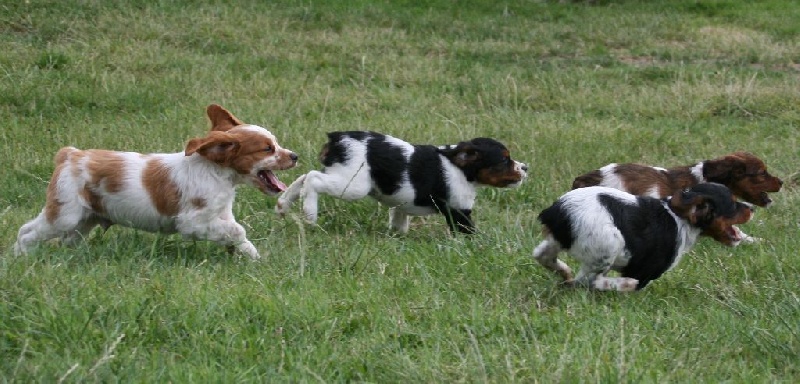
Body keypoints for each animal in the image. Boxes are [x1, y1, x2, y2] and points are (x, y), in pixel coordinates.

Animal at [14, 103, 296, 260]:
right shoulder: (191, 222)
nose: (295, 156)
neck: (216, 173)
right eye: (268, 149)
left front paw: (253, 258)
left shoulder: (220, 216)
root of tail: (70, 154)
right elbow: (238, 230)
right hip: (65, 214)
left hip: (85, 220)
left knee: (66, 240)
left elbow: (236, 233)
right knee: (26, 232)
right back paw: (19, 258)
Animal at [272, 132, 528, 234]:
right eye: (504, 160)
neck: (460, 167)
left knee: (305, 176)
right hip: (353, 185)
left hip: (341, 175)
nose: (525, 168)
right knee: (313, 178)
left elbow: (399, 224)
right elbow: (471, 234)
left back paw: (284, 203)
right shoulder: (459, 211)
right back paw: (310, 213)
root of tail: (338, 138)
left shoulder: (400, 205)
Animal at [536, 183, 752, 292]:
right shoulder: (645, 270)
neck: (681, 219)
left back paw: (564, 273)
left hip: (555, 241)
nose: (752, 208)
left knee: (541, 255)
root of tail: (556, 211)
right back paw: (624, 284)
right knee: (590, 281)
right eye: (733, 205)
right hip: (610, 245)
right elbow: (638, 283)